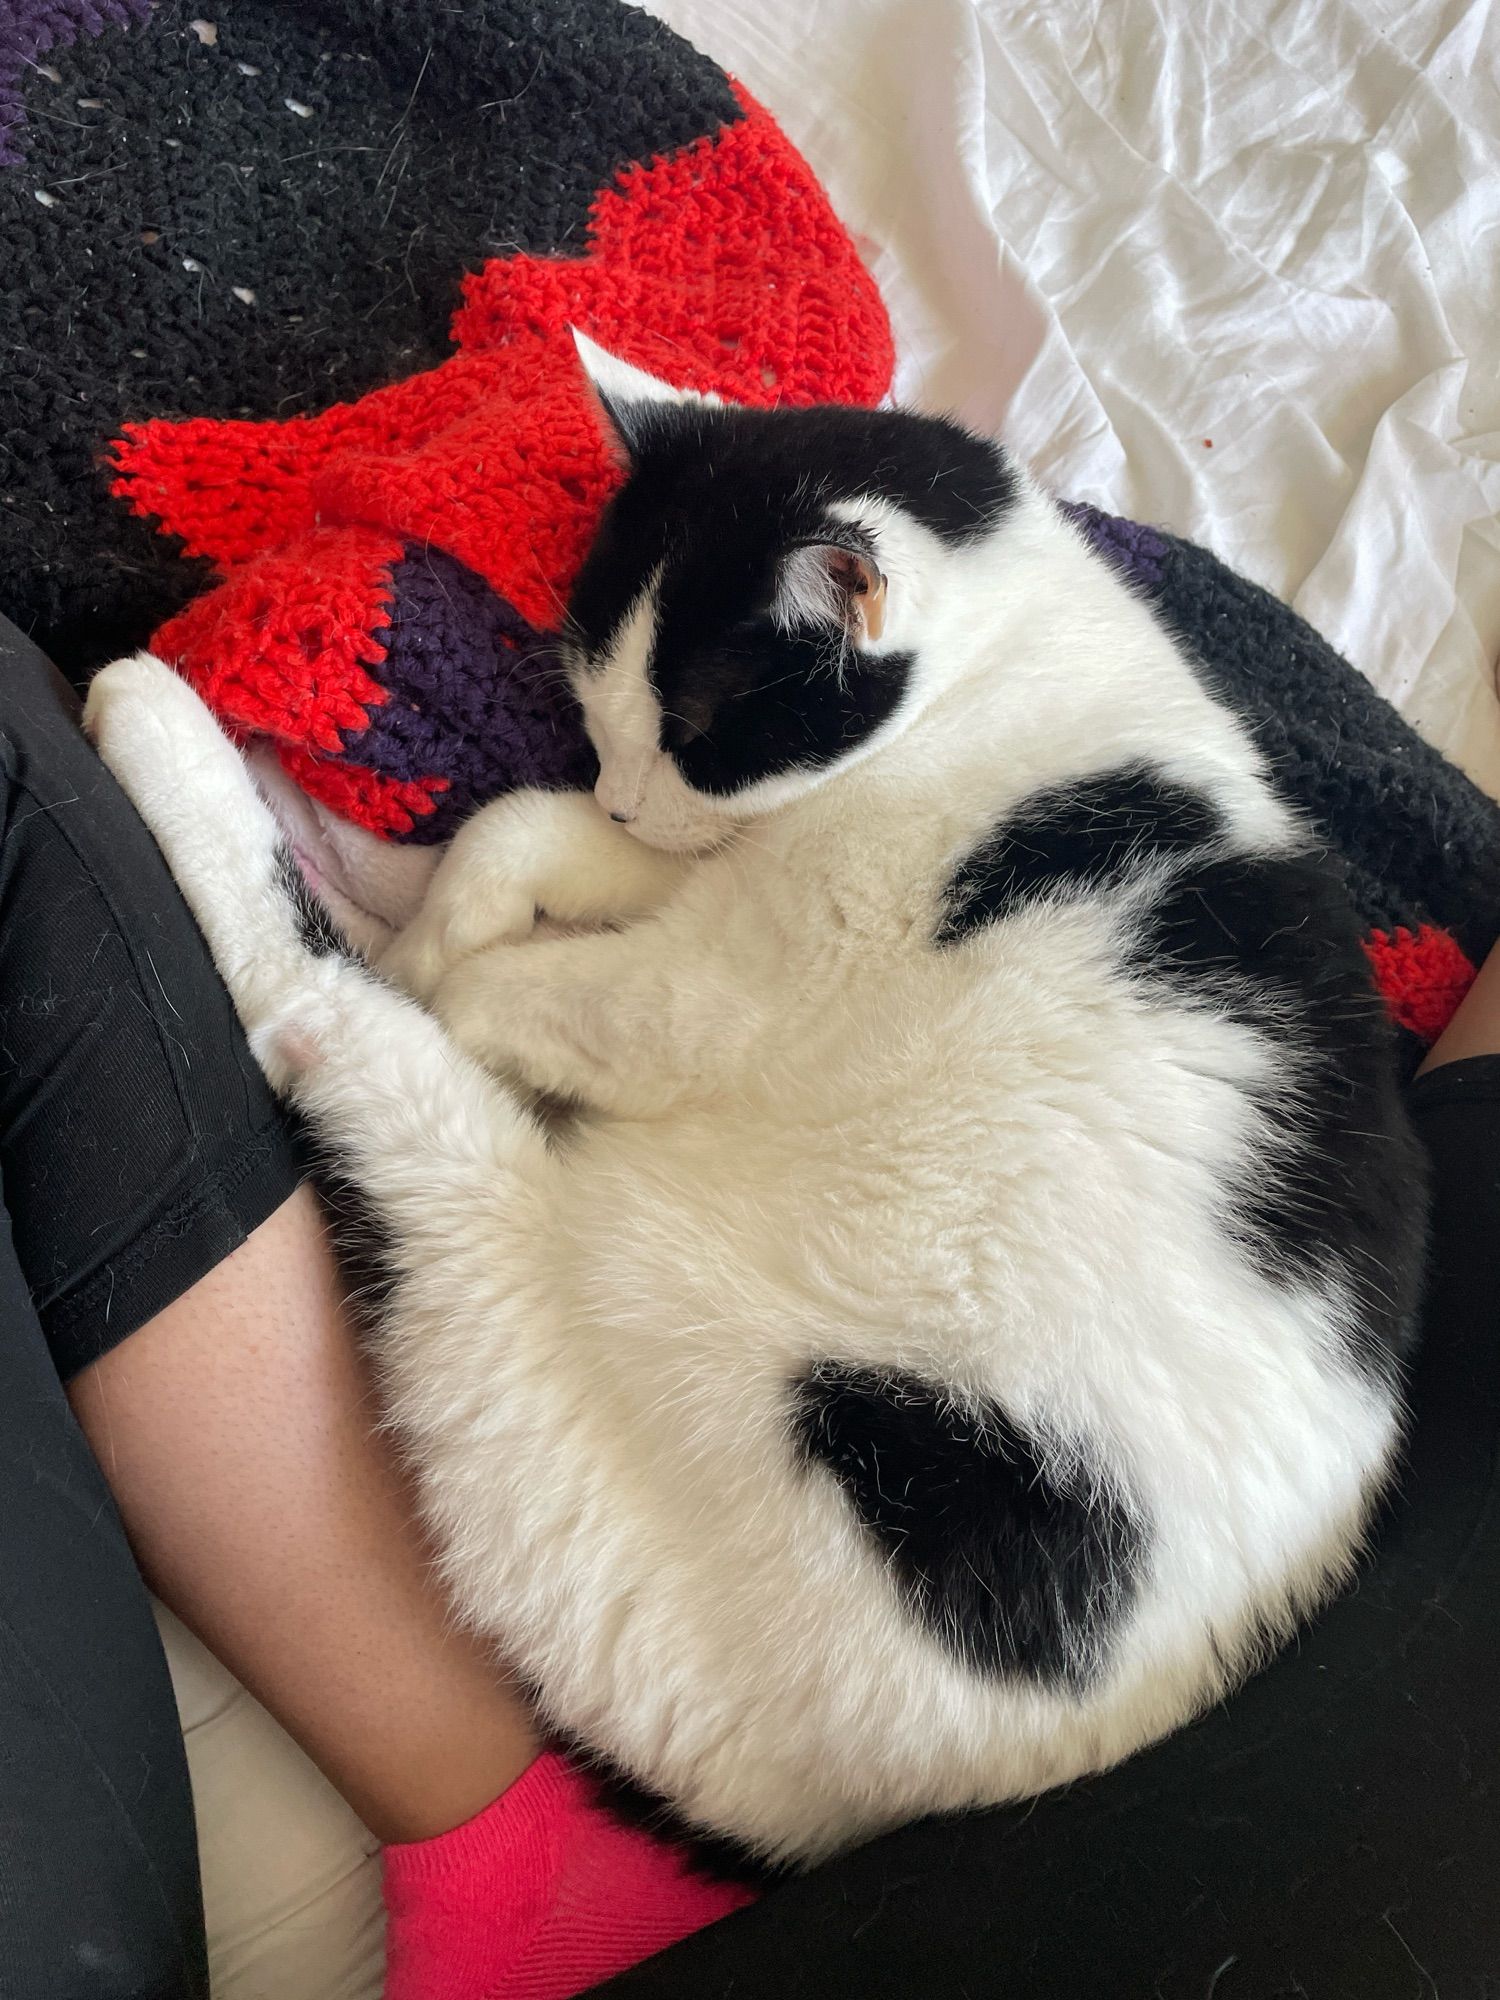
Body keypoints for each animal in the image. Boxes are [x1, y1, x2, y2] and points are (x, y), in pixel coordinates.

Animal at [85, 336, 1432, 1864]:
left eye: (696, 725)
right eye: (596, 710)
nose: (624, 793)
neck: (1004, 678)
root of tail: (817, 1823)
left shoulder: (718, 987)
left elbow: (528, 984)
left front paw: (451, 963)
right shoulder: (701, 876)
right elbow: (518, 829)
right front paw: (461, 900)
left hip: (550, 1301)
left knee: (313, 1007)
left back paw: (167, 731)